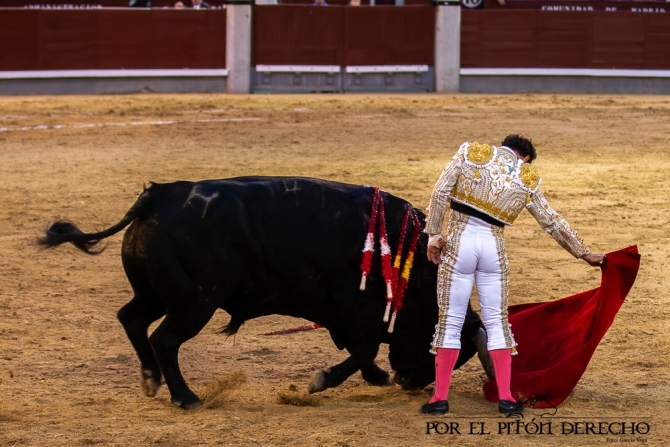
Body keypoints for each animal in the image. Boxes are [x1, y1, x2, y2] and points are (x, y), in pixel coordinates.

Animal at [40, 178, 494, 410]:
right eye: (450, 354)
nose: (410, 383)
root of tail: (159, 194)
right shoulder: (355, 308)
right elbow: (362, 348)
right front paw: (323, 381)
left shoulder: (343, 315)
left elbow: (359, 350)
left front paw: (376, 377)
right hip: (195, 302)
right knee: (164, 339)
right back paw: (185, 397)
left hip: (157, 294)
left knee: (132, 318)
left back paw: (151, 381)